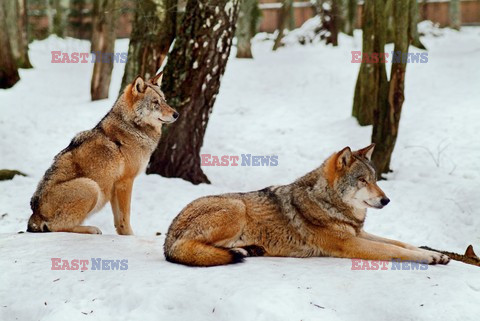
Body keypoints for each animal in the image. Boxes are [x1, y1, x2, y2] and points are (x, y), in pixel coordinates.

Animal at [26, 72, 177, 234]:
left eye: (164, 100)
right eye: (155, 102)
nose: (177, 114)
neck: (132, 128)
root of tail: (34, 215)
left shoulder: (114, 187)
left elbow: (118, 221)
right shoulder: (125, 182)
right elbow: (126, 216)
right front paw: (130, 236)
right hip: (91, 187)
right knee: (56, 227)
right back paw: (91, 229)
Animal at [164, 144, 450, 266]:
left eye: (375, 180)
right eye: (362, 180)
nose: (386, 200)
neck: (329, 204)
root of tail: (168, 239)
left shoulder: (359, 233)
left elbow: (400, 243)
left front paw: (436, 253)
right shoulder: (351, 243)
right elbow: (395, 250)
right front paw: (428, 257)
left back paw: (249, 250)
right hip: (236, 207)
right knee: (195, 248)